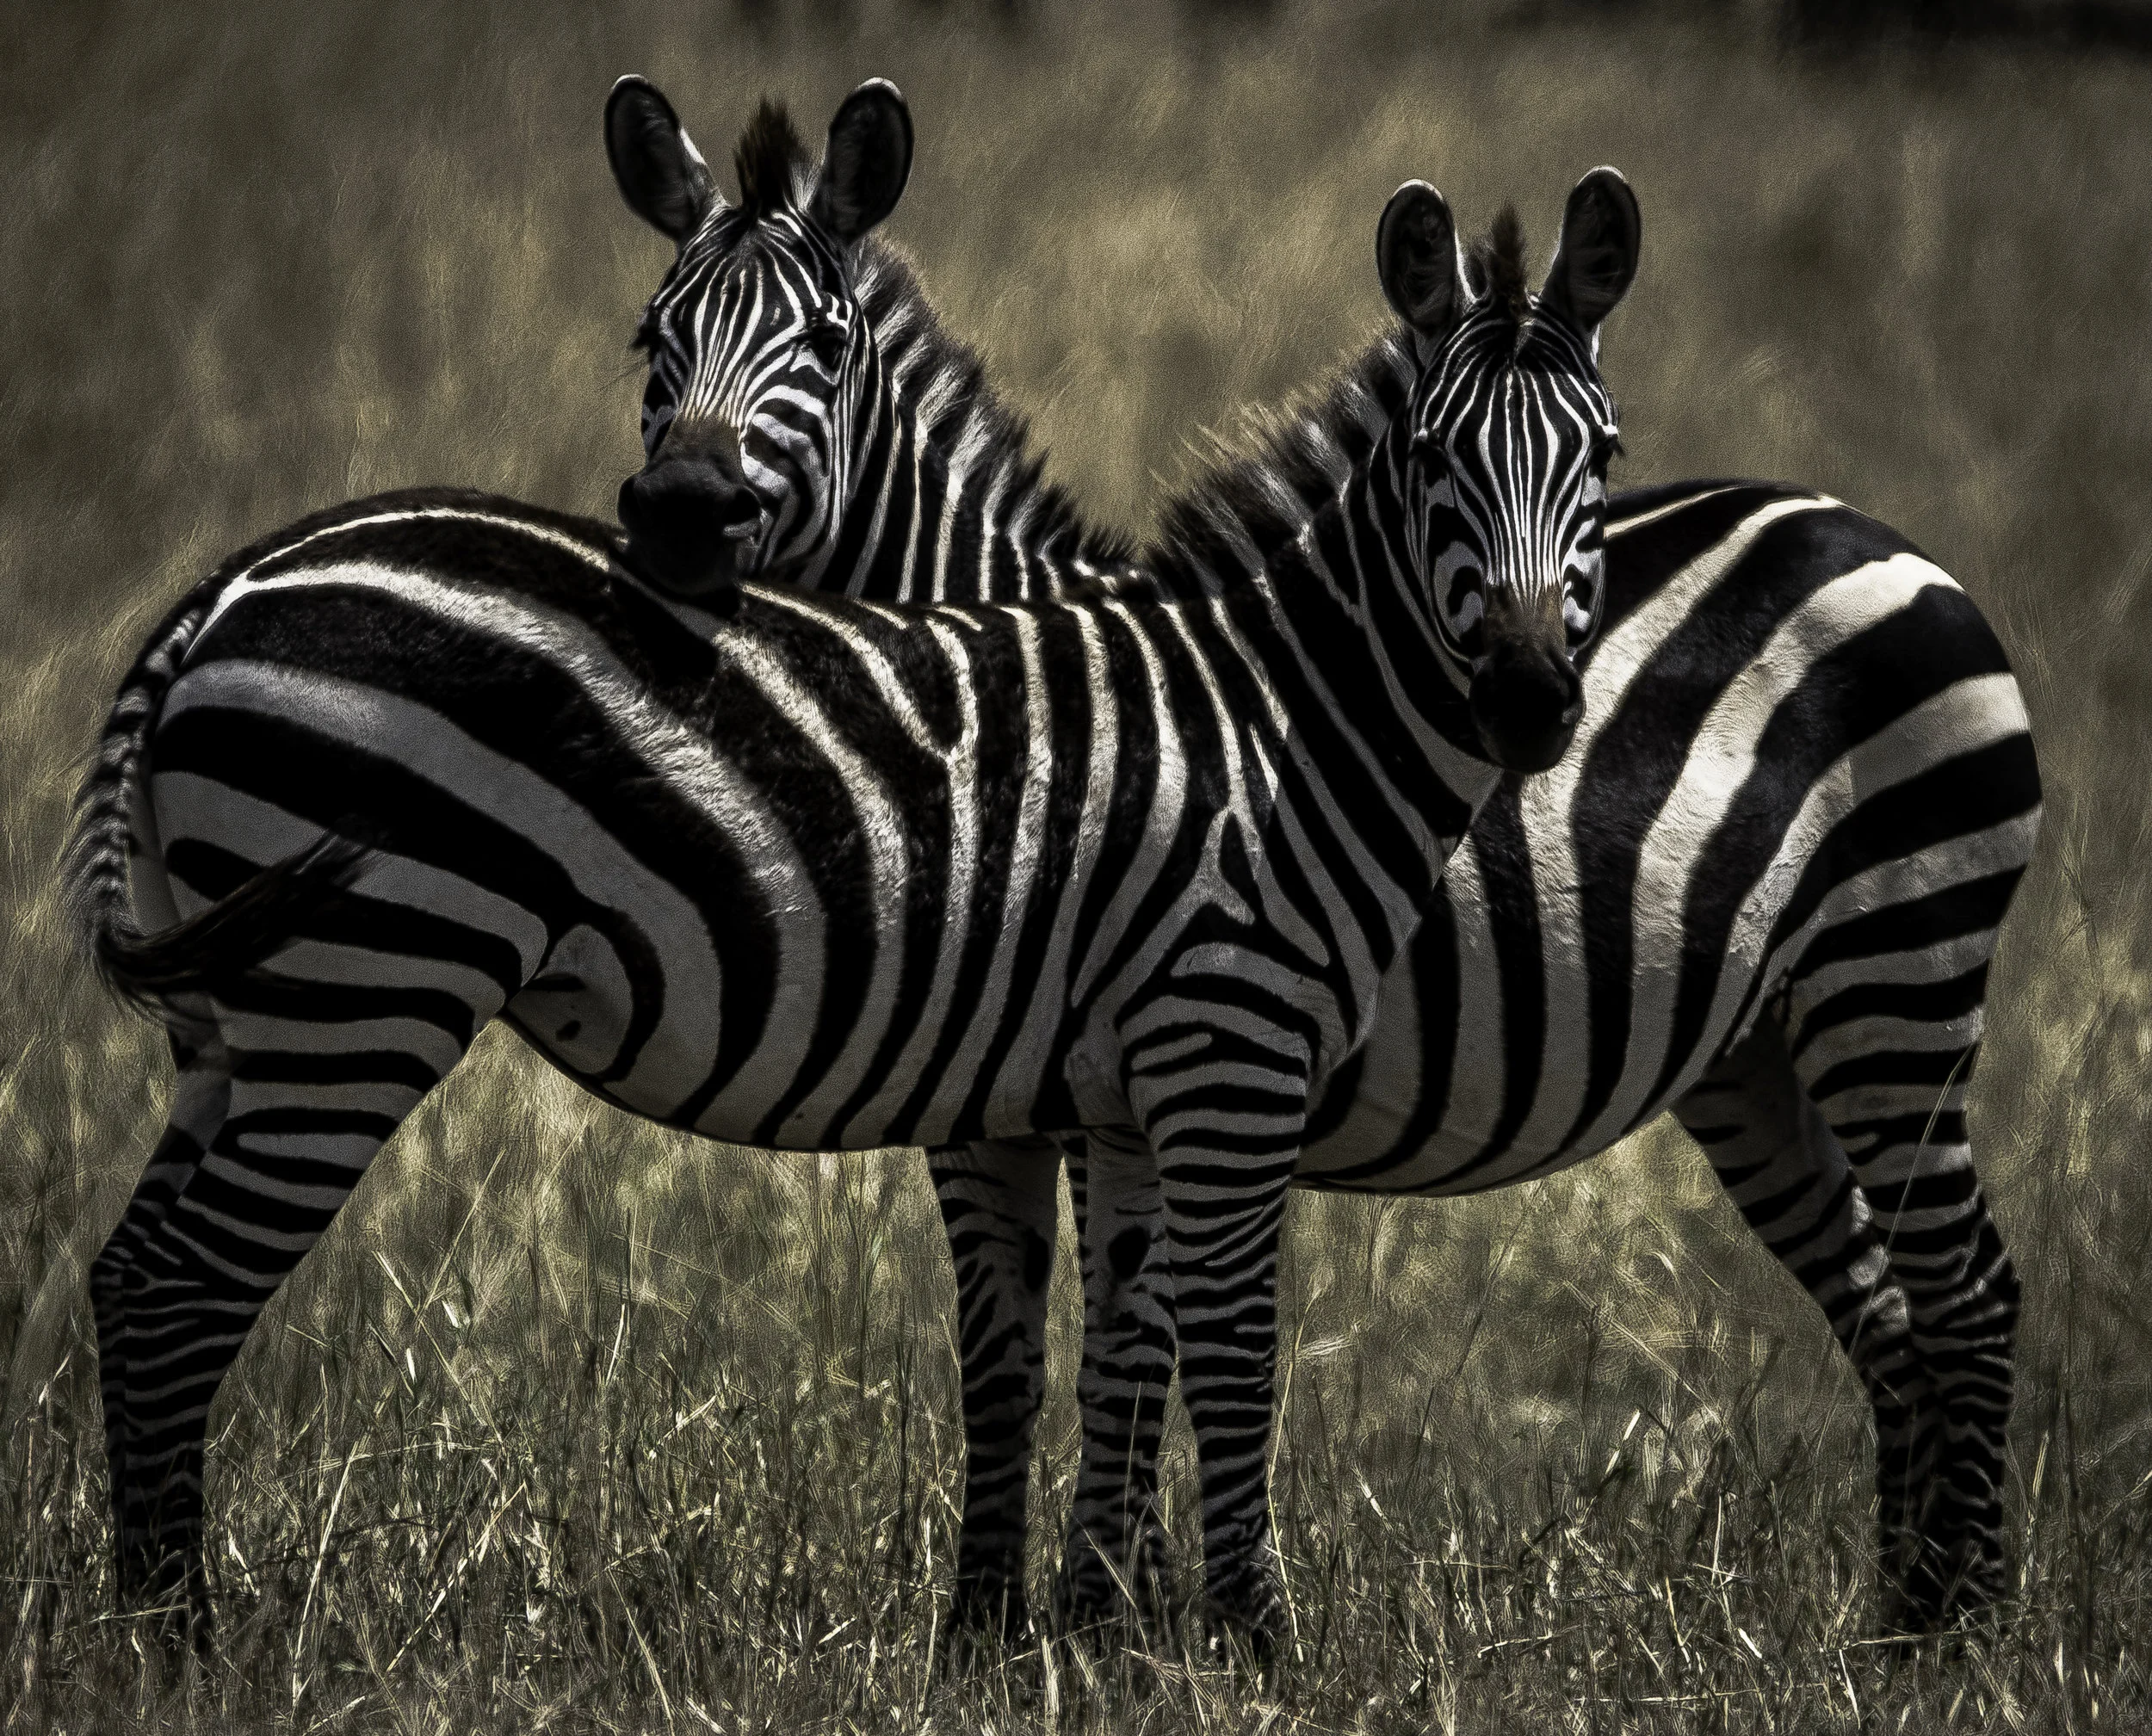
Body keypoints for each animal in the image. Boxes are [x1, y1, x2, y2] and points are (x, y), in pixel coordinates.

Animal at [68, 78, 1643, 1651]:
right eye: (1434, 461)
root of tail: (224, 588)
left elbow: (1112, 1350)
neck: (1279, 715)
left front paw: (1085, 1636)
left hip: (239, 1014)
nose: (1528, 702)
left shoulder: (1112, 1093)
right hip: (361, 988)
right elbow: (1231, 1352)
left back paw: (153, 1629)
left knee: (133, 1276)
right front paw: (1251, 1646)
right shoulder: (1224, 1051)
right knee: (184, 1289)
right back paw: (186, 1639)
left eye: (1604, 463)